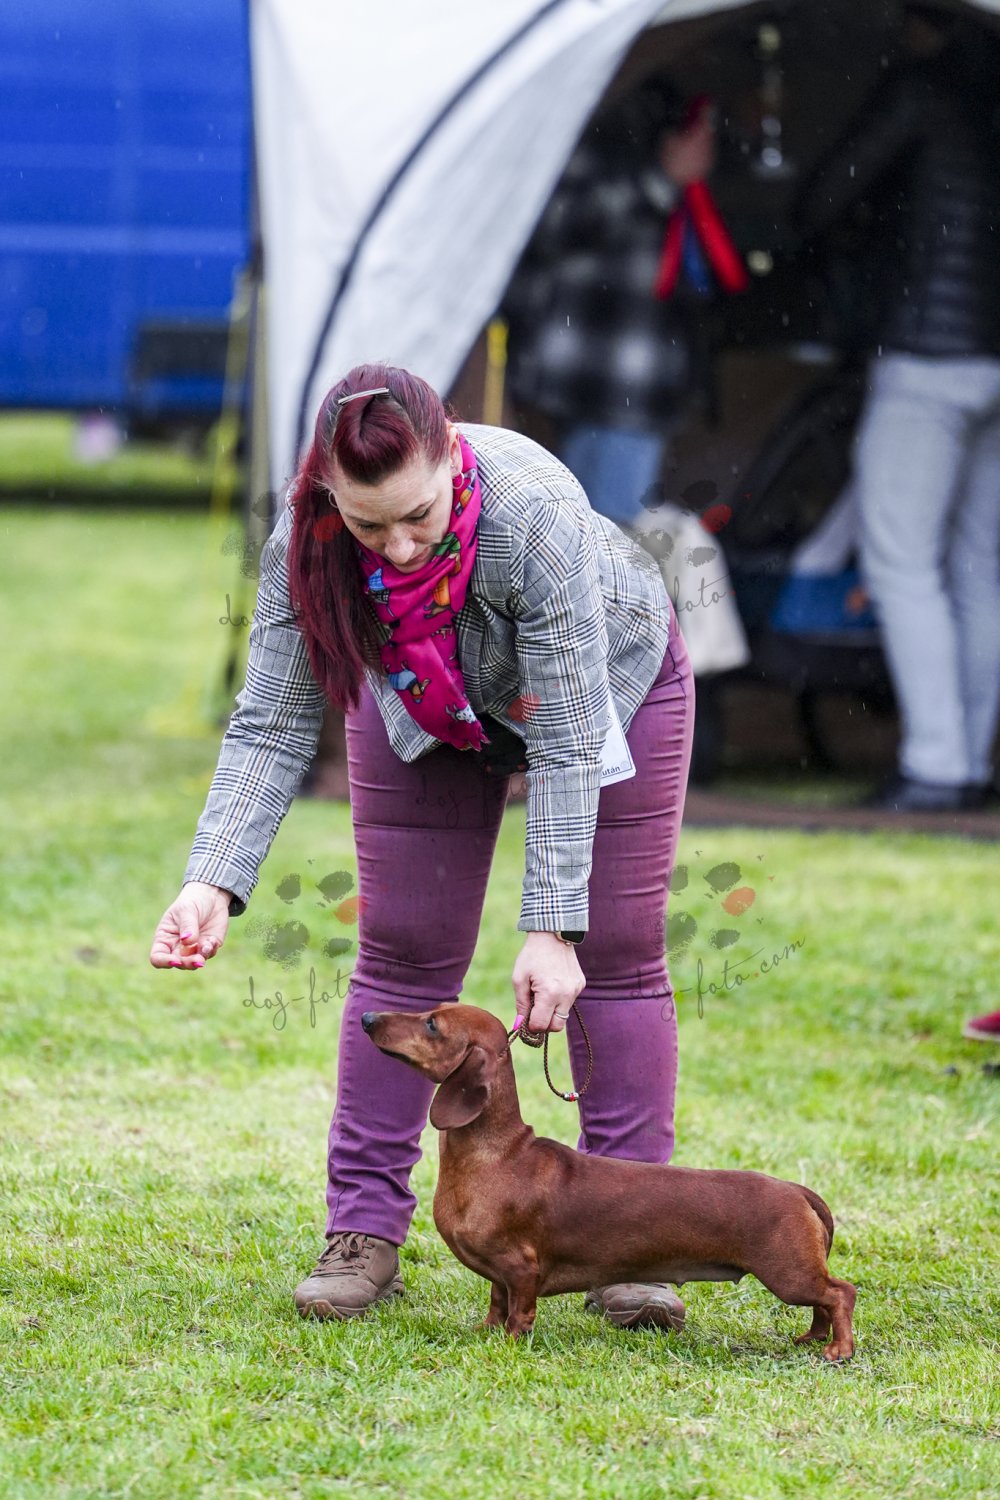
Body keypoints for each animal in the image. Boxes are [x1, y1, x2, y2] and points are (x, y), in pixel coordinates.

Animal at [362, 1003, 856, 1360]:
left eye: (432, 1023)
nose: (367, 1018)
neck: (497, 1155)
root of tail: (796, 1190)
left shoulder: (521, 1269)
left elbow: (519, 1313)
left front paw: (508, 1346)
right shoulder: (499, 1275)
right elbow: (496, 1304)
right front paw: (485, 1333)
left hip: (788, 1272)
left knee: (840, 1293)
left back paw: (838, 1349)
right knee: (825, 1301)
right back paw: (813, 1338)